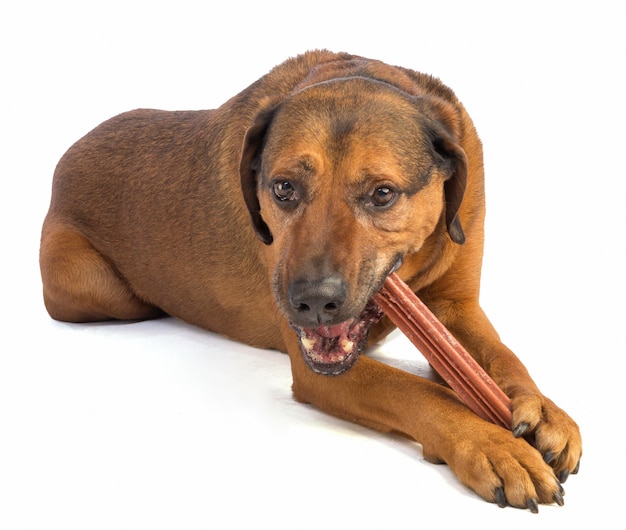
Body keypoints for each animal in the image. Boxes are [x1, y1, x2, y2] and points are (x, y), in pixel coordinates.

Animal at [39, 48, 580, 508]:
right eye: (283, 188)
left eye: (382, 194)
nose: (314, 303)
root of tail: (65, 155)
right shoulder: (319, 370)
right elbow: (418, 390)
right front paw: (489, 442)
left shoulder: (453, 307)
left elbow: (502, 356)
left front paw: (543, 409)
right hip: (92, 284)